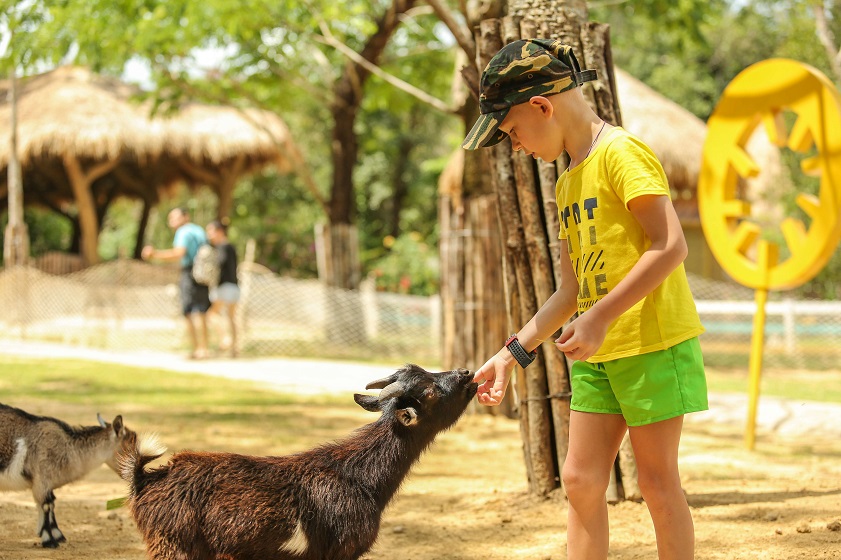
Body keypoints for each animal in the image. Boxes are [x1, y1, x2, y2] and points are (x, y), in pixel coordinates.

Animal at [0, 402, 134, 548]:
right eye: (128, 447)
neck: (68, 447)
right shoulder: (42, 479)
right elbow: (46, 505)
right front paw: (49, 541)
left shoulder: (46, 483)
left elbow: (51, 503)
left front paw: (56, 535)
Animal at [119, 364, 476, 560]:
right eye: (429, 392)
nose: (466, 373)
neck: (359, 477)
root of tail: (147, 479)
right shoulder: (341, 550)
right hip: (174, 544)